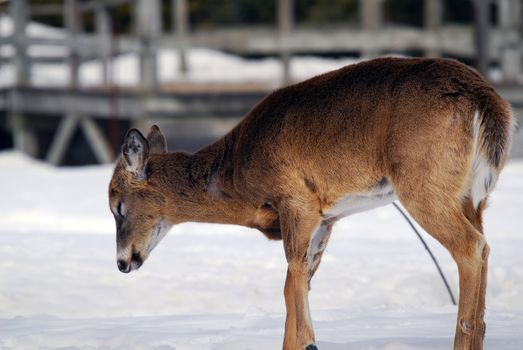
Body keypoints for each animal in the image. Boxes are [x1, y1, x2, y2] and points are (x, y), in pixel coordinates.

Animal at [107, 57, 516, 350]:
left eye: (118, 207)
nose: (122, 263)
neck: (236, 176)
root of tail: (488, 102)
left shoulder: (295, 199)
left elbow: (292, 278)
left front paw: (307, 342)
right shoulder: (326, 218)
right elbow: (295, 283)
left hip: (423, 182)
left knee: (470, 247)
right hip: (474, 196)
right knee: (484, 246)